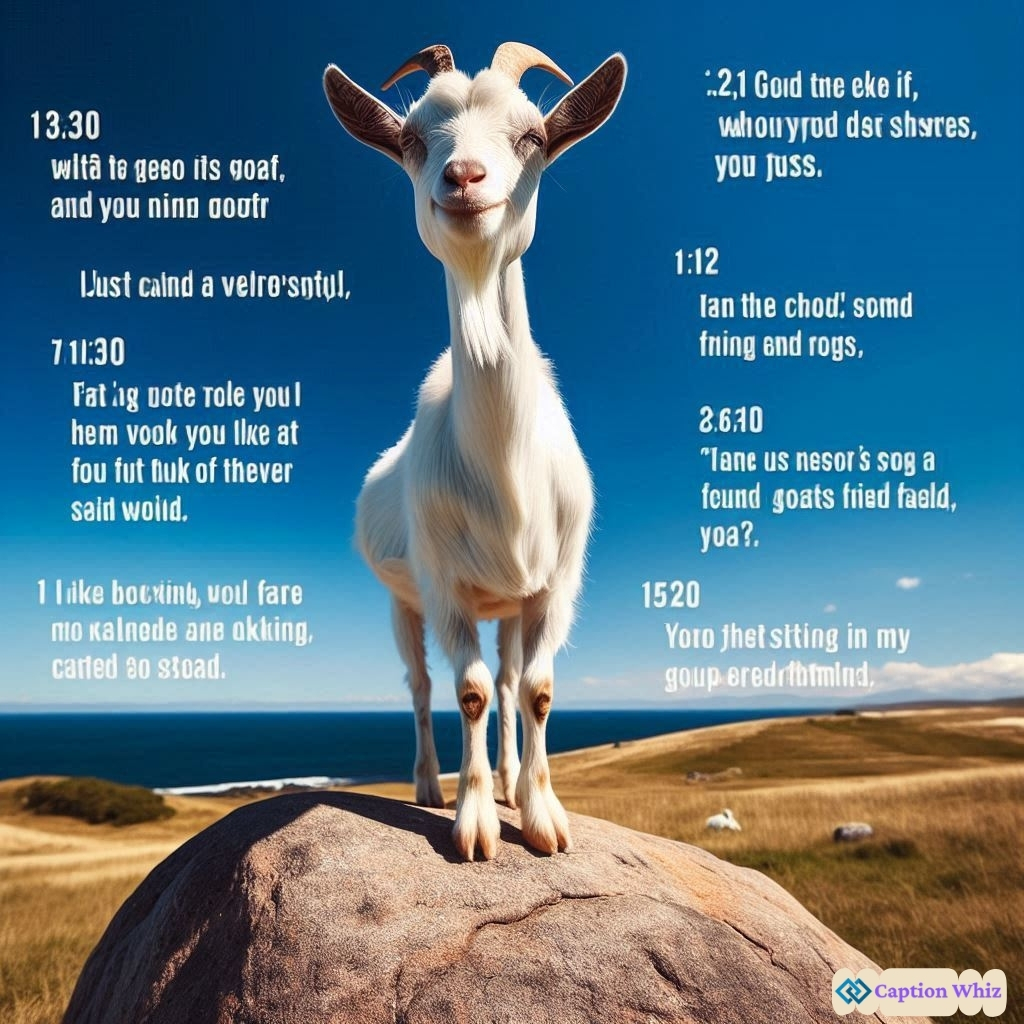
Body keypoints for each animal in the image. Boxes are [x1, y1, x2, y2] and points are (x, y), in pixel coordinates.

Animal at [324, 44, 626, 860]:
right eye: (410, 140)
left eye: (532, 137)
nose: (462, 178)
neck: (504, 462)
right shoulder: (444, 585)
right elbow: (469, 690)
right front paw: (474, 823)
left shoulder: (555, 585)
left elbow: (536, 688)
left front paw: (542, 816)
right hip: (404, 601)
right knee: (424, 687)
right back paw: (432, 784)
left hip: (511, 601)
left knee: (513, 675)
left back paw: (514, 780)